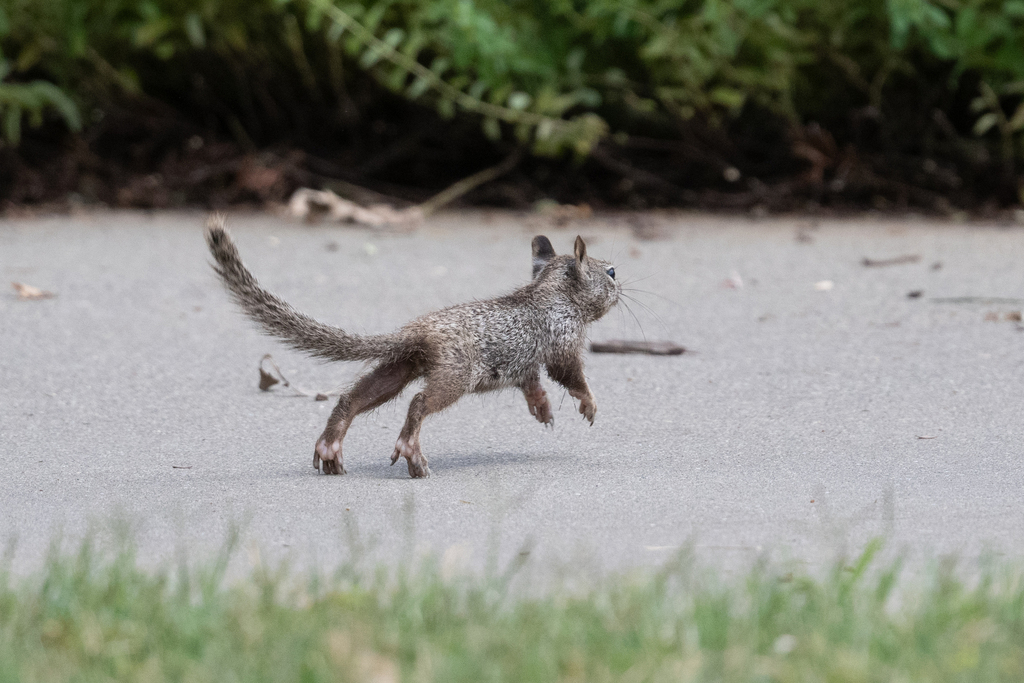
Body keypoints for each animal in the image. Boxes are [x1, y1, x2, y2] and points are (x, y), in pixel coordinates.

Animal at [205, 214, 620, 478]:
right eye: (611, 272)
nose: (620, 289)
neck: (550, 291)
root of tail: (420, 330)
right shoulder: (563, 338)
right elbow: (569, 374)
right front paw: (589, 403)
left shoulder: (527, 363)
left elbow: (532, 383)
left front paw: (543, 409)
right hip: (455, 373)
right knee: (419, 402)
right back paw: (411, 453)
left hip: (400, 365)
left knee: (353, 399)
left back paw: (331, 447)